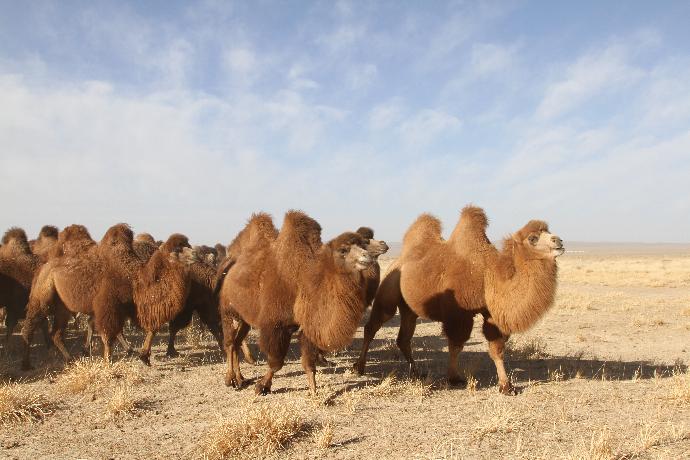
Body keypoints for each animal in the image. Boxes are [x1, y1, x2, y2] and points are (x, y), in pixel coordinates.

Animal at [216, 212, 384, 396]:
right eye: (343, 250)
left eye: (363, 245)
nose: (367, 256)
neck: (306, 282)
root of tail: (228, 263)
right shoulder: (276, 326)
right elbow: (276, 362)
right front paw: (262, 386)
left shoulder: (308, 327)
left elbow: (309, 364)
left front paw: (314, 392)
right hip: (227, 311)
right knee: (229, 343)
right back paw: (230, 379)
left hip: (245, 317)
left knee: (237, 342)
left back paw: (240, 378)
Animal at [352, 207, 560, 394]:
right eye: (533, 238)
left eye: (549, 232)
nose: (558, 241)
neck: (488, 274)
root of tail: (398, 260)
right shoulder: (458, 313)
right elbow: (456, 344)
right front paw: (454, 377)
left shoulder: (490, 314)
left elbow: (497, 348)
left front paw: (506, 386)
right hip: (389, 289)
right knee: (372, 326)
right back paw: (359, 367)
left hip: (410, 308)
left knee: (403, 338)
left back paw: (417, 372)